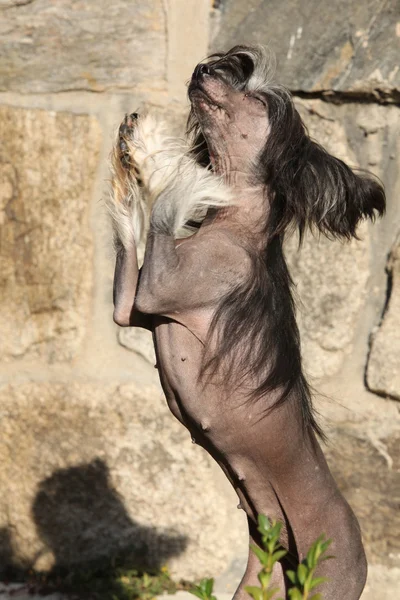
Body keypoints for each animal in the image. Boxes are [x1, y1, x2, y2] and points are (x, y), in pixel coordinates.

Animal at [108, 44, 386, 596]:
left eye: (257, 98)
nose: (202, 69)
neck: (231, 223)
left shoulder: (157, 292)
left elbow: (167, 204)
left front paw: (159, 161)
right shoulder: (128, 307)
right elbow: (131, 235)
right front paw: (130, 164)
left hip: (328, 580)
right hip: (264, 579)